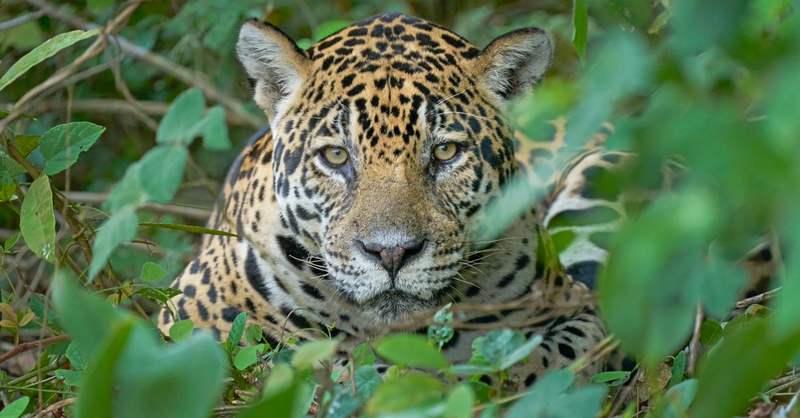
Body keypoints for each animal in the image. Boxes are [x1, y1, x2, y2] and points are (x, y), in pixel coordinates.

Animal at [156, 12, 775, 390]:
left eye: (446, 151)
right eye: (335, 156)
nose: (391, 253)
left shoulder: (572, 308)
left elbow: (552, 357)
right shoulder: (177, 324)